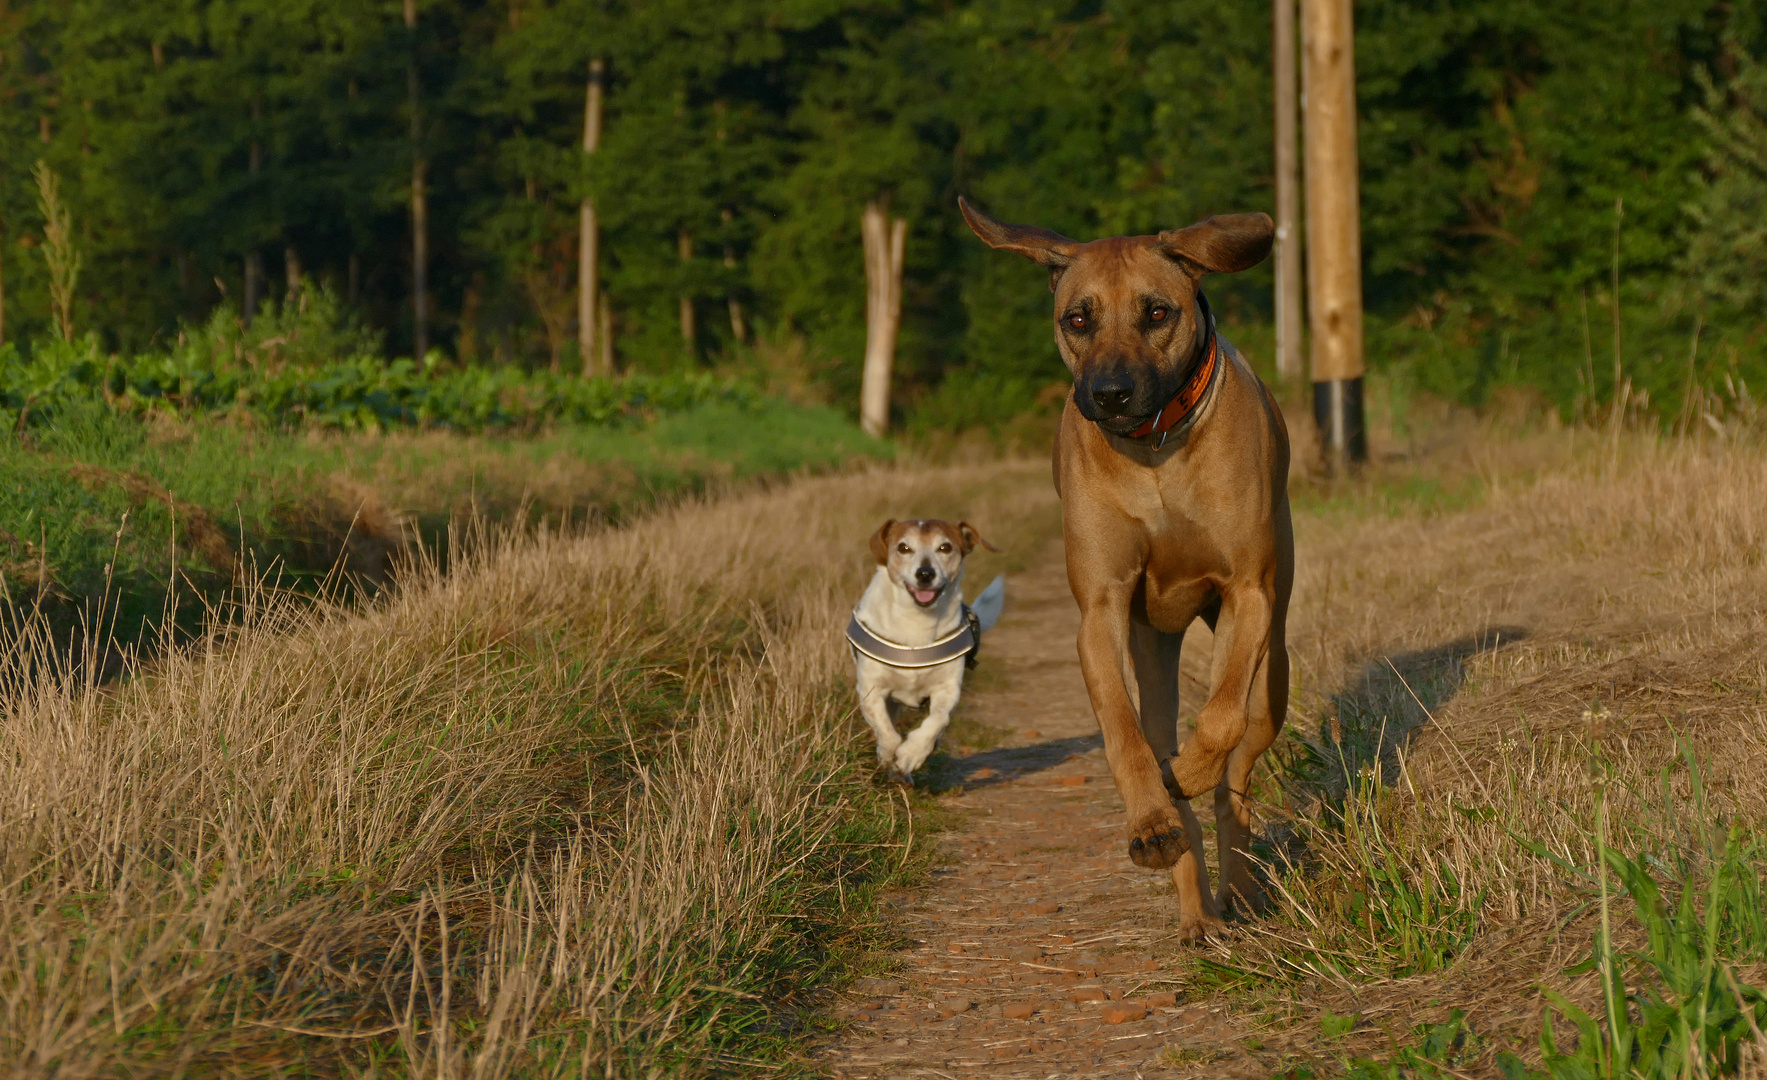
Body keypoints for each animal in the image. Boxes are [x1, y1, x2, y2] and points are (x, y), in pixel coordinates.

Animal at [844, 519, 1003, 781]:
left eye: (945, 547)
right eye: (904, 548)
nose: (926, 574)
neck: (916, 624)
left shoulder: (948, 689)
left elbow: (937, 720)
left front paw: (912, 754)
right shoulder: (870, 690)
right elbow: (887, 732)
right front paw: (889, 756)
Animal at [961, 198, 1293, 940]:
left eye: (1156, 312)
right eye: (1078, 318)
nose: (1111, 394)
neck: (1156, 449)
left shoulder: (1248, 594)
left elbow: (1220, 722)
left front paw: (1184, 774)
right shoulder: (1100, 608)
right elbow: (1121, 732)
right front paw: (1150, 820)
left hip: (1274, 670)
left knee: (1237, 776)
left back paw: (1236, 882)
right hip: (1154, 653)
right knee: (1166, 745)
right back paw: (1197, 909)